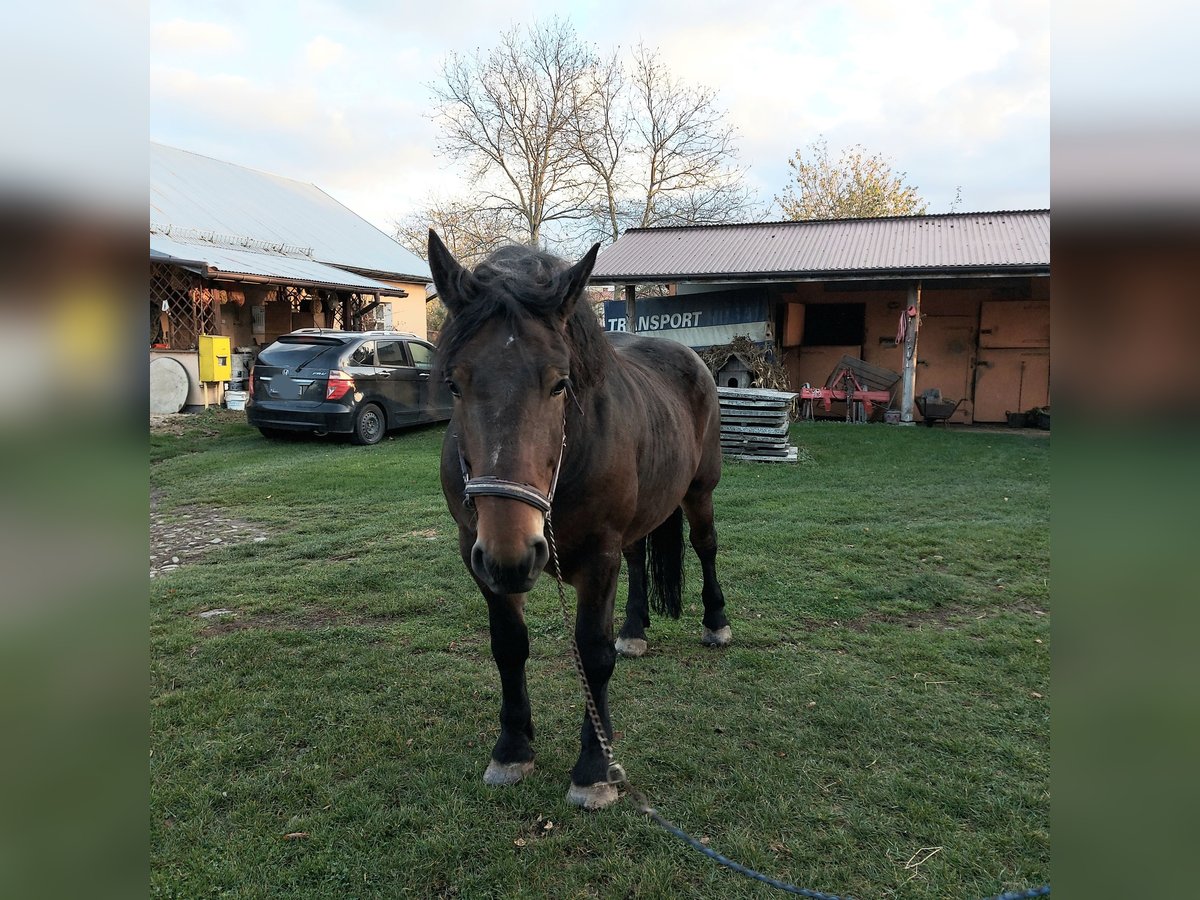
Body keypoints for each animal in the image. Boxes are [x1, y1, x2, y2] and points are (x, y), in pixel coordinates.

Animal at [432, 230, 729, 811]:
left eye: (559, 383)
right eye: (453, 385)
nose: (513, 551)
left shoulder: (597, 555)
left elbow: (592, 654)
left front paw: (595, 768)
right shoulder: (477, 554)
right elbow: (509, 648)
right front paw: (512, 749)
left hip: (699, 492)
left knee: (705, 546)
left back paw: (715, 622)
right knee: (638, 560)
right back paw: (635, 629)